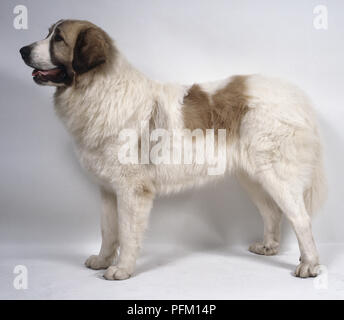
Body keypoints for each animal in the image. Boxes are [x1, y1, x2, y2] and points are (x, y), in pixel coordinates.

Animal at [20, 20, 326, 280]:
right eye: (49, 33)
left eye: (58, 39)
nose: (22, 50)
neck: (97, 88)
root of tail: (299, 98)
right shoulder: (107, 189)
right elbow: (108, 230)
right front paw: (103, 260)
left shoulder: (132, 190)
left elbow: (127, 232)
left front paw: (122, 269)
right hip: (252, 177)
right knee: (272, 212)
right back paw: (268, 246)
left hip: (277, 175)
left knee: (301, 218)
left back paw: (309, 264)